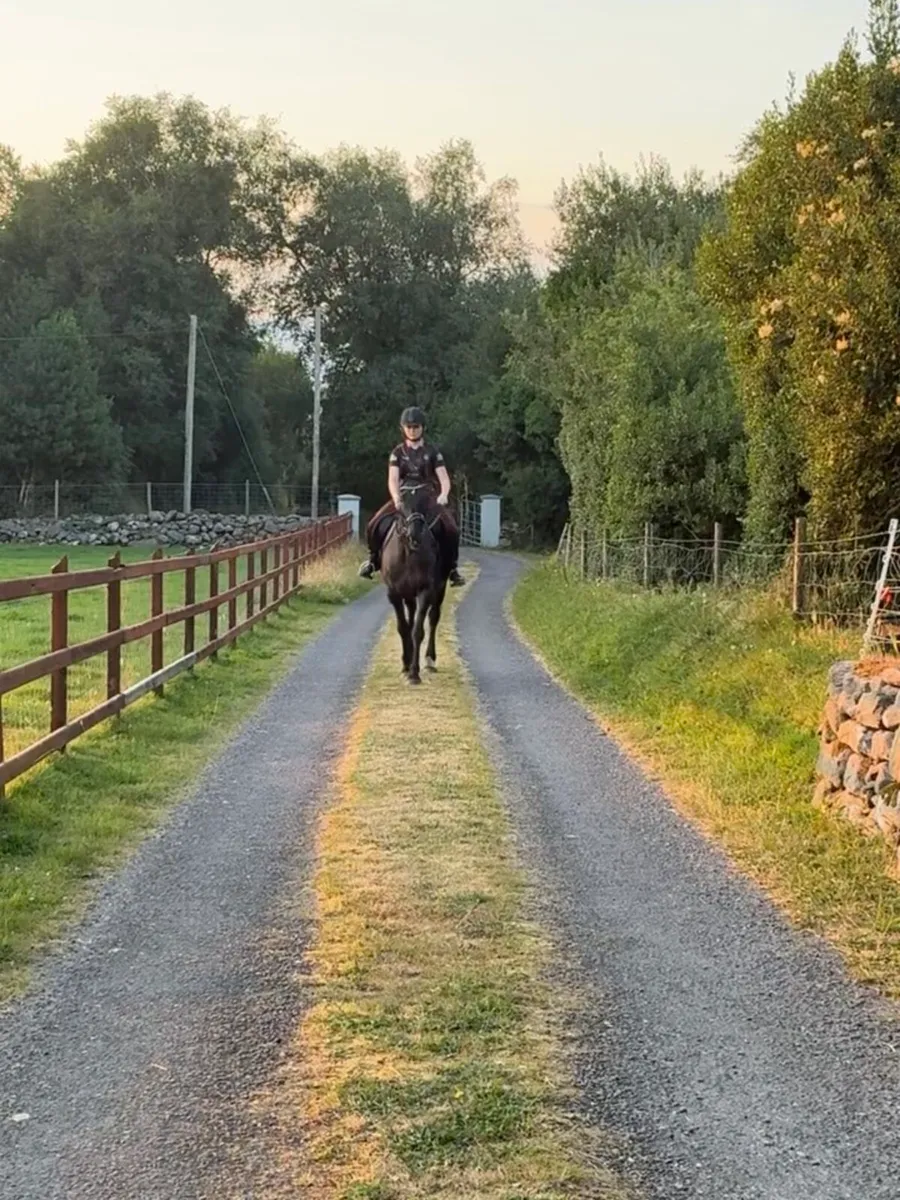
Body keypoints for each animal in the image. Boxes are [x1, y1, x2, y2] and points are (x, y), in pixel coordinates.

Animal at [380, 483, 448, 685]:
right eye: (402, 500)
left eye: (426, 498)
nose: (414, 534)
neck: (408, 553)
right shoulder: (394, 593)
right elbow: (403, 628)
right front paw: (405, 664)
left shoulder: (426, 591)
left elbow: (417, 630)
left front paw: (414, 673)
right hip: (408, 594)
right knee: (410, 617)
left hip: (439, 589)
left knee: (433, 618)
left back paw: (430, 660)